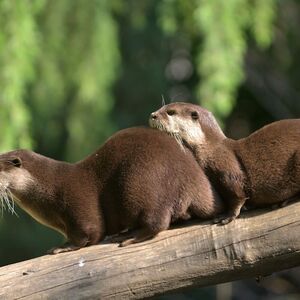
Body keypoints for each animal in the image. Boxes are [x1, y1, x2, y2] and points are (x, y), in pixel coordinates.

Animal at [0, 126, 223, 253]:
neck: (49, 188)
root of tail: (194, 179)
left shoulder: (77, 203)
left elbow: (89, 233)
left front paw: (64, 247)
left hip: (141, 182)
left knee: (157, 222)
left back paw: (130, 237)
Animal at [150, 102, 300, 224]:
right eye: (162, 107)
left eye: (171, 112)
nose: (153, 115)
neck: (209, 149)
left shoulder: (225, 164)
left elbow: (237, 193)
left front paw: (228, 216)